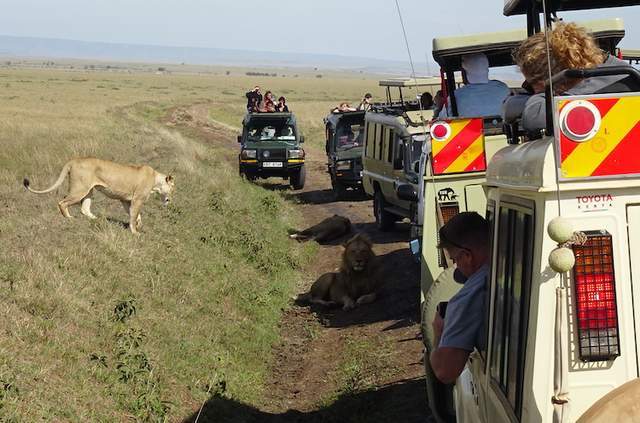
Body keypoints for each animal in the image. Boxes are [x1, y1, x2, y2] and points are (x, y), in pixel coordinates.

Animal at [24, 158, 175, 234]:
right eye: (173, 188)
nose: (171, 200)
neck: (156, 181)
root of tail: (73, 160)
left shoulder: (126, 200)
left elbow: (135, 214)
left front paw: (139, 224)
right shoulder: (137, 199)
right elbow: (133, 216)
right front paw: (135, 232)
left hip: (89, 191)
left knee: (84, 209)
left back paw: (97, 219)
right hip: (80, 189)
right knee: (62, 202)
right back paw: (69, 218)